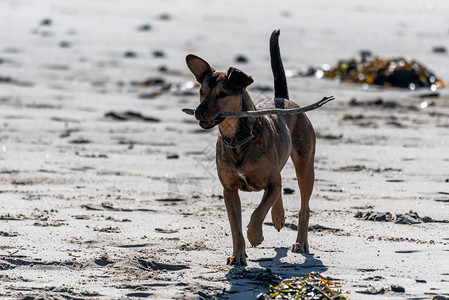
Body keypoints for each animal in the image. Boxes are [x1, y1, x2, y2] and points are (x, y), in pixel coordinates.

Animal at [186, 29, 316, 264]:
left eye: (222, 94)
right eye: (201, 91)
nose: (198, 112)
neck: (237, 138)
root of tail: (282, 99)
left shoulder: (271, 182)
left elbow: (258, 212)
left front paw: (255, 235)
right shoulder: (229, 190)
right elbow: (235, 226)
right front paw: (237, 255)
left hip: (305, 163)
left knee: (304, 206)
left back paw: (300, 242)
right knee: (280, 189)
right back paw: (278, 216)